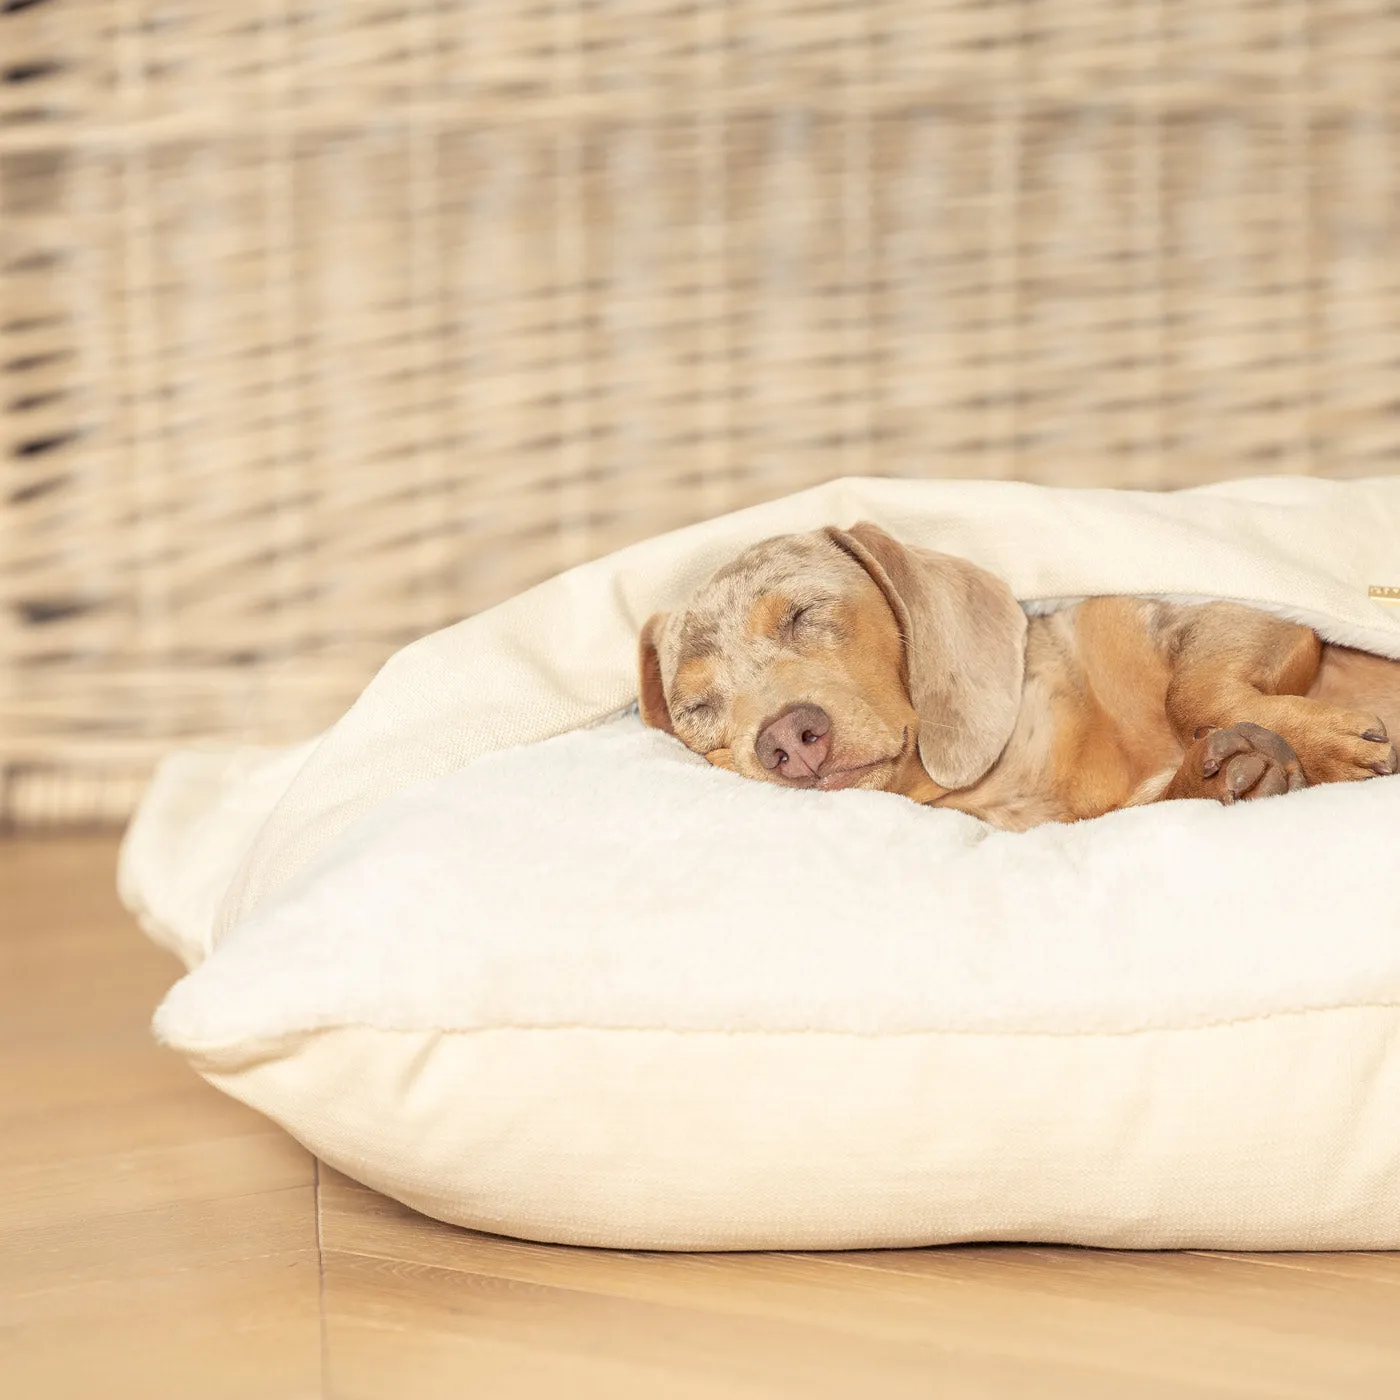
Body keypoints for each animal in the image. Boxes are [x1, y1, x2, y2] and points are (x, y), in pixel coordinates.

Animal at [638, 526, 1400, 828]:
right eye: (698, 707)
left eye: (805, 613)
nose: (788, 741)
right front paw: (1223, 774)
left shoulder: (1232, 611)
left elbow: (1190, 691)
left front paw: (1324, 744)